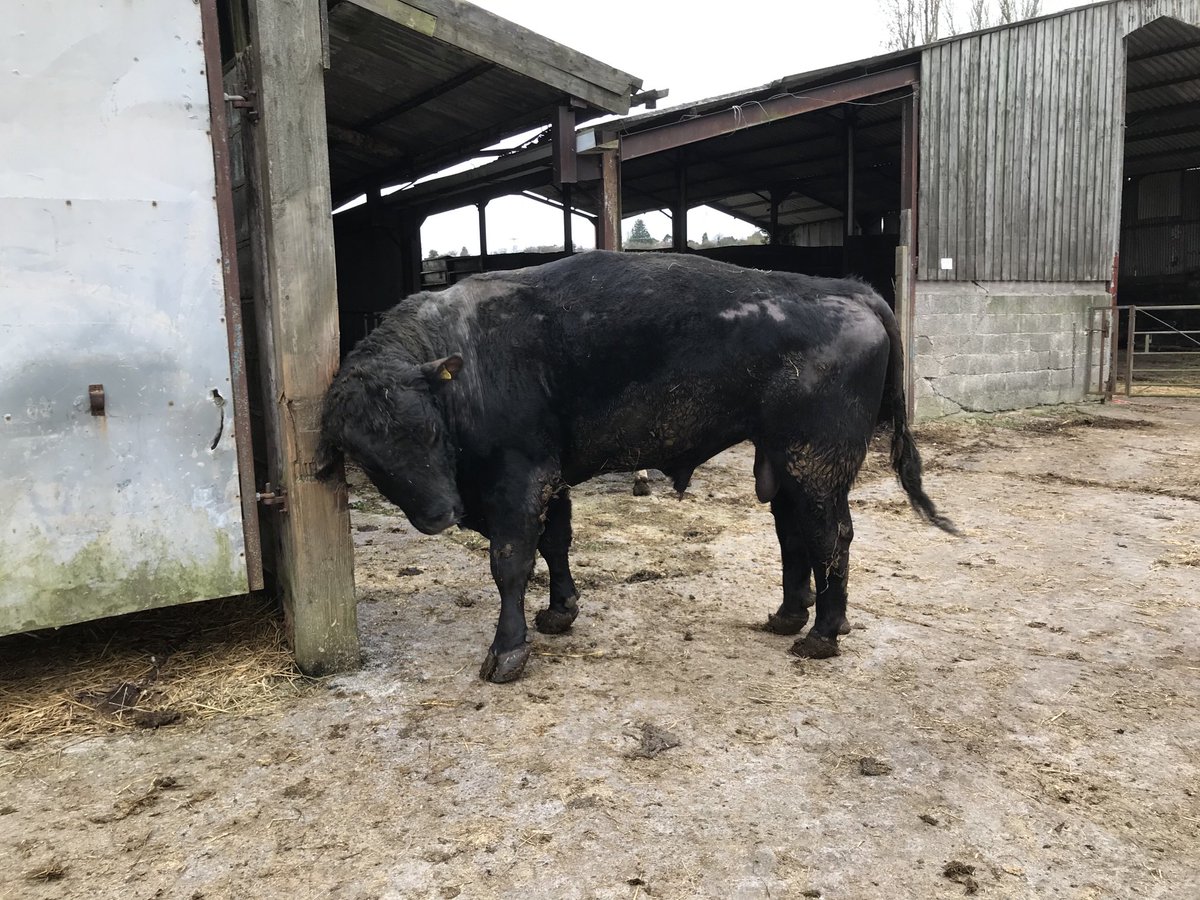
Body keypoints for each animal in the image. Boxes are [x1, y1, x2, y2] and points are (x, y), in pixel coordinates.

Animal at [317, 251, 955, 683]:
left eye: (426, 429)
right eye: (365, 458)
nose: (440, 514)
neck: (466, 362)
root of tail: (848, 290)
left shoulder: (519, 481)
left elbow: (512, 562)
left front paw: (507, 651)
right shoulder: (551, 480)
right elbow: (557, 543)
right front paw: (561, 612)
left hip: (817, 464)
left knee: (831, 536)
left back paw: (822, 635)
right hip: (785, 465)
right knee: (794, 534)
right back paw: (791, 616)